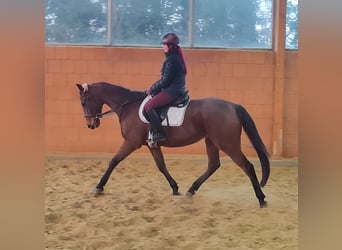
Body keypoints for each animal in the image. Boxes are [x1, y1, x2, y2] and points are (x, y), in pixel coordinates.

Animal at [77, 81, 270, 207]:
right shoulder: (152, 145)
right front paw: (175, 188)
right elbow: (161, 166)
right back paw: (191, 190)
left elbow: (113, 161)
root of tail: (233, 106)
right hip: (211, 141)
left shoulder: (131, 143)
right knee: (213, 165)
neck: (128, 106)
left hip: (228, 144)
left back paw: (261, 198)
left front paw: (98, 187)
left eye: (84, 101)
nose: (91, 125)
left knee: (247, 166)